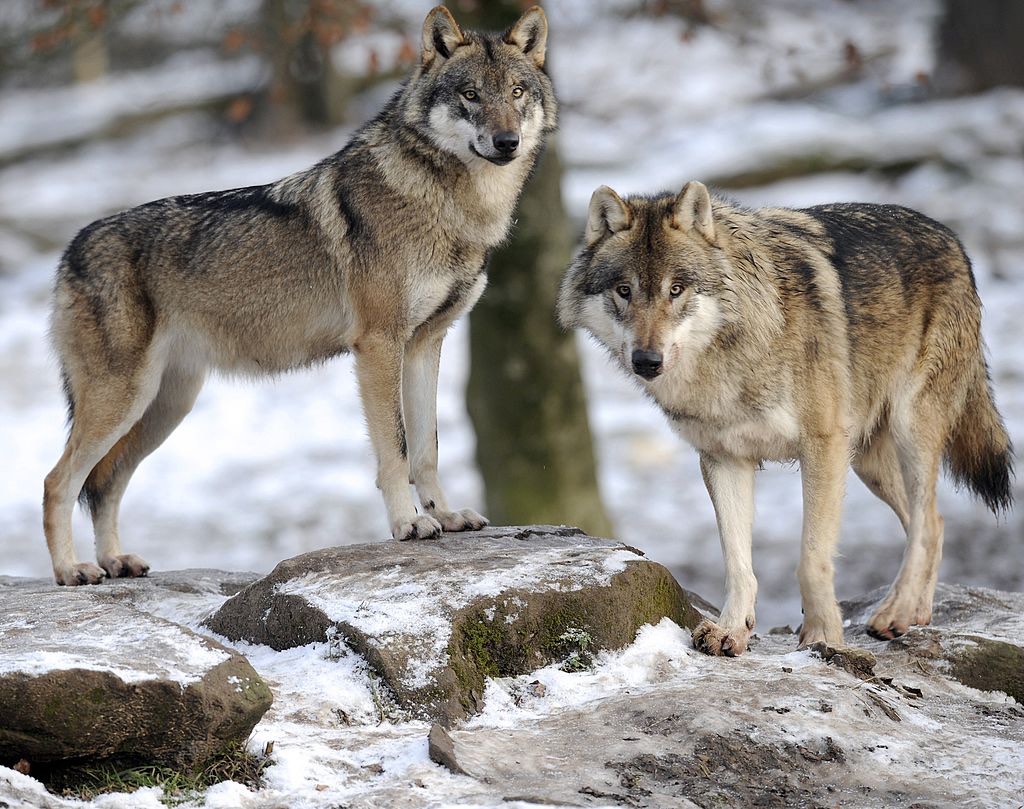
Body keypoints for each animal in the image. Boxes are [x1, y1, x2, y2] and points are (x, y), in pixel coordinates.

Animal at [43, 6, 556, 586]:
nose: (507, 141)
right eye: (470, 94)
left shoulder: (426, 344)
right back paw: (71, 570)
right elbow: (396, 449)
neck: (452, 208)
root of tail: (71, 250)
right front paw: (408, 525)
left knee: (106, 482)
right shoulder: (379, 346)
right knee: (58, 481)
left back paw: (115, 561)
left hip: (163, 407)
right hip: (123, 401)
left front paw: (445, 516)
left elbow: (428, 447)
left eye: (516, 91)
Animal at [559, 180, 1013, 655]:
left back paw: (897, 611)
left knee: (926, 522)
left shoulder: (822, 447)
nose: (647, 360)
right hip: (867, 461)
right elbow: (737, 562)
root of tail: (951, 237)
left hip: (909, 431)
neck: (729, 357)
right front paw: (731, 629)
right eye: (624, 290)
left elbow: (812, 559)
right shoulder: (725, 458)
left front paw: (823, 635)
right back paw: (916, 612)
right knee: (934, 523)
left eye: (677, 289)